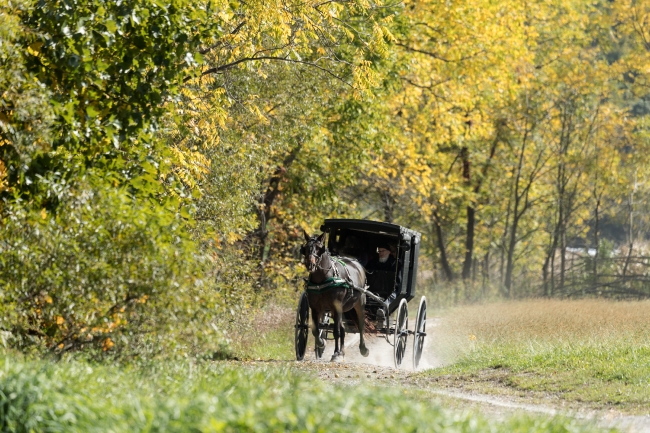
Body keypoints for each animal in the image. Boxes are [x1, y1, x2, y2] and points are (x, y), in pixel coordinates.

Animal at [300, 230, 368, 362]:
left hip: (358, 303)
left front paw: (336, 353)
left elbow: (336, 331)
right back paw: (342, 352)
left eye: (319, 248)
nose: (310, 264)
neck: (322, 280)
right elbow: (316, 329)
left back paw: (363, 349)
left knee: (360, 325)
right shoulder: (316, 308)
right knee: (342, 329)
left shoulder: (336, 307)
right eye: (305, 248)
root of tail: (357, 263)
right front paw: (321, 343)